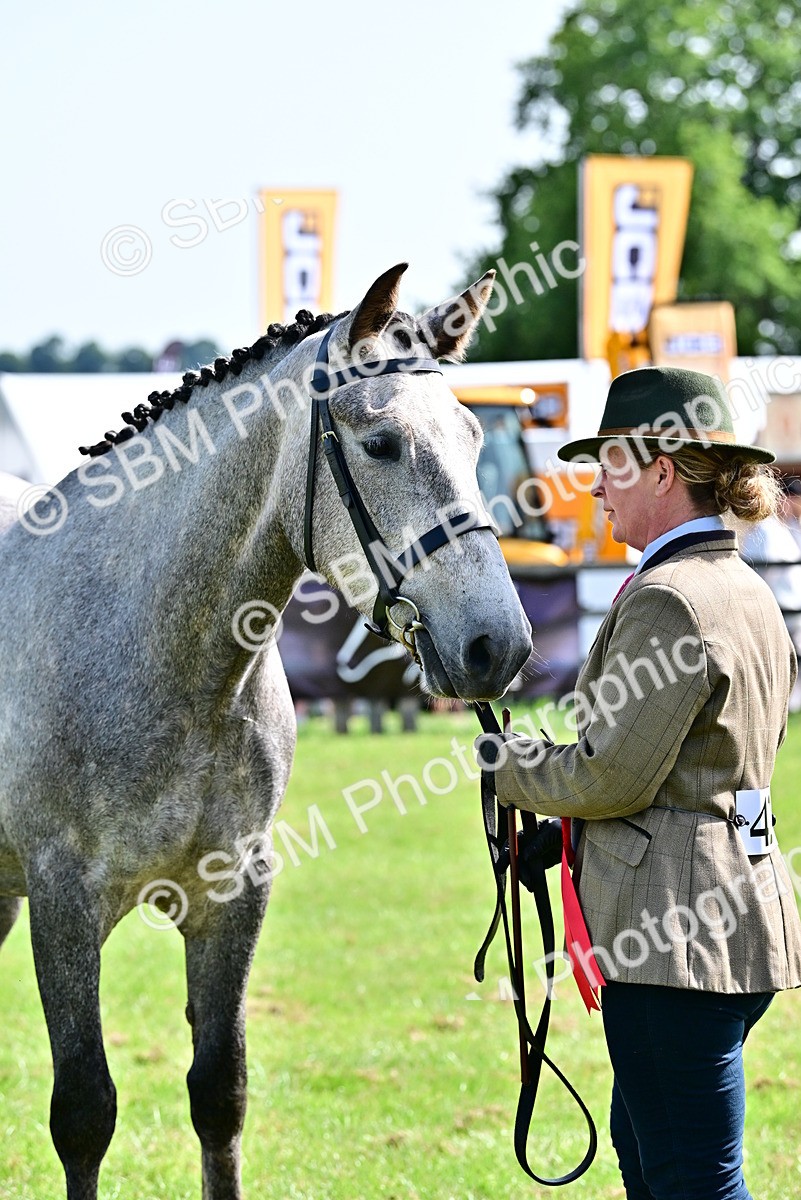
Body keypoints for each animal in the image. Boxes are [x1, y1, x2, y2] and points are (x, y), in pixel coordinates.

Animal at [0, 262, 532, 1200]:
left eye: (475, 437)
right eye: (380, 444)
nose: (494, 644)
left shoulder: (233, 894)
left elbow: (220, 1092)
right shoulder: (62, 902)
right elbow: (84, 1112)